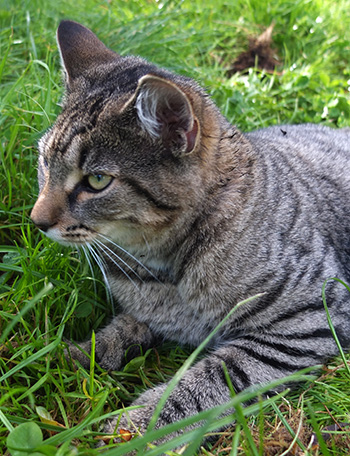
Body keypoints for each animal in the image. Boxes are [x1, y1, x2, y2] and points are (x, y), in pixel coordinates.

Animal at [30, 19, 350, 450]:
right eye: (45, 163)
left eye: (96, 180)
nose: (36, 220)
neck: (161, 266)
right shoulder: (147, 312)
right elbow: (116, 334)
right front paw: (66, 358)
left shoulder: (306, 320)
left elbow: (207, 382)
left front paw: (134, 430)